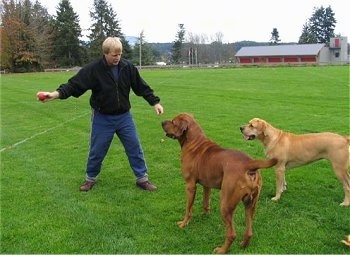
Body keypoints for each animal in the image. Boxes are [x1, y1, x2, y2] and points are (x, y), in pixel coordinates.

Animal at [161, 113, 276, 253]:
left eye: (173, 122)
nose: (162, 122)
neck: (193, 142)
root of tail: (249, 164)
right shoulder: (206, 185)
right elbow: (206, 202)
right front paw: (205, 215)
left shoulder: (190, 185)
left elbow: (188, 208)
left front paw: (184, 223)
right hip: (250, 204)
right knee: (249, 231)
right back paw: (243, 245)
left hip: (226, 204)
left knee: (231, 234)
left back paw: (222, 250)